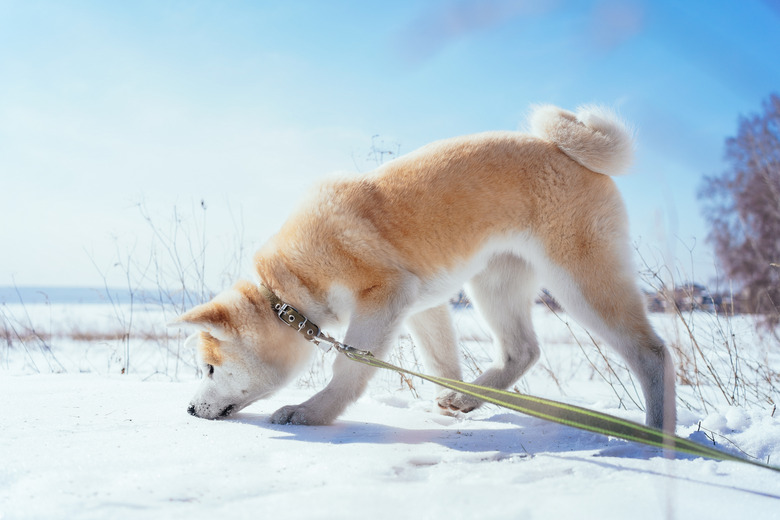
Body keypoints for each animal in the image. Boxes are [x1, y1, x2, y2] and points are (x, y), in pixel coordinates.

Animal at [174, 104, 672, 430]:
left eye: (210, 369)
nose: (191, 409)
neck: (290, 290)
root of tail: (564, 149)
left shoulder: (384, 297)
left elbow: (348, 367)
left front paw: (312, 413)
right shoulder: (420, 307)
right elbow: (441, 362)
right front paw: (448, 406)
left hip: (581, 283)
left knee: (654, 353)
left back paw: (658, 434)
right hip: (495, 284)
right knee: (522, 351)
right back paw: (465, 400)